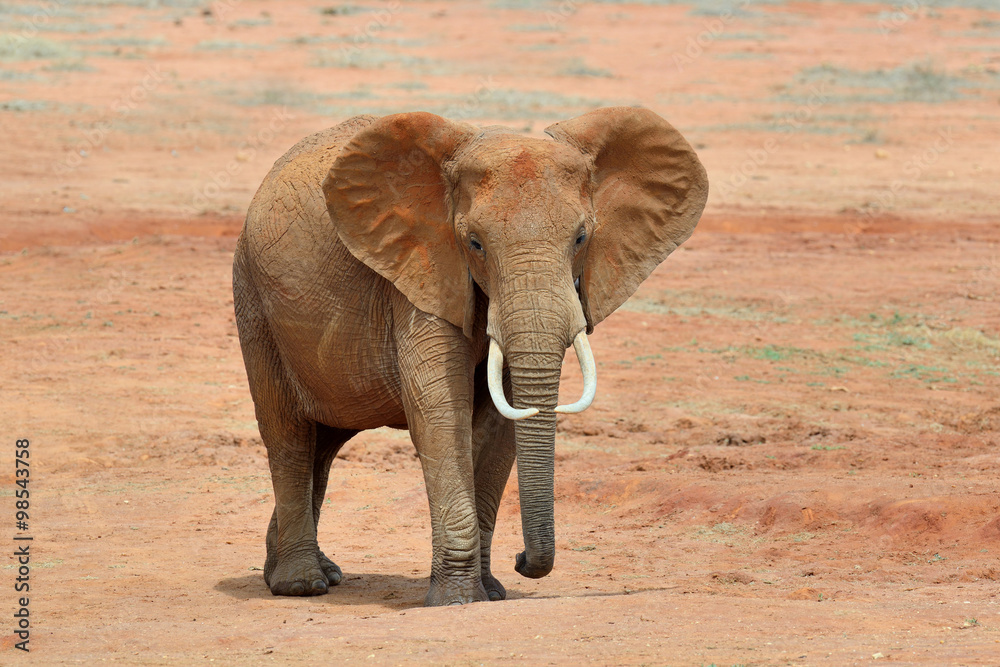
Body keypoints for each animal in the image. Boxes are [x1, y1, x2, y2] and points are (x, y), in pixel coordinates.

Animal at [232, 106, 708, 606]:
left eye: (581, 238)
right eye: (475, 243)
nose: (522, 560)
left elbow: (501, 424)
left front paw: (491, 592)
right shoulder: (422, 265)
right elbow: (441, 413)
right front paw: (457, 600)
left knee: (323, 446)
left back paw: (316, 572)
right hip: (254, 302)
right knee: (289, 438)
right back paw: (300, 585)